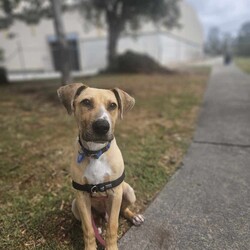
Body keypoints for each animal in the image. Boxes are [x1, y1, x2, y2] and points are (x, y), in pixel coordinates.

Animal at [57, 84, 145, 250]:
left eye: (113, 105)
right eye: (86, 102)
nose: (102, 126)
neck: (95, 152)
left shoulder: (115, 193)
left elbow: (112, 226)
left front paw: (111, 247)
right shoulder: (82, 196)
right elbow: (88, 229)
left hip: (129, 192)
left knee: (121, 211)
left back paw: (133, 216)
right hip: (75, 205)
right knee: (95, 219)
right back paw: (98, 224)